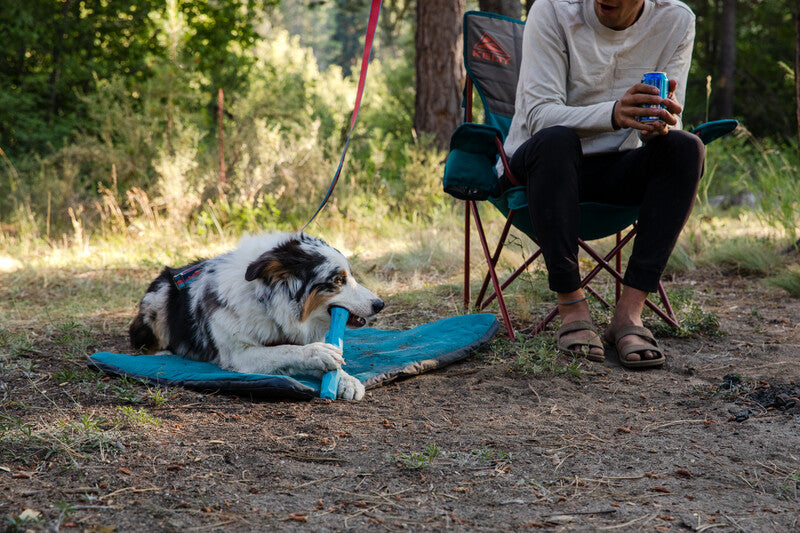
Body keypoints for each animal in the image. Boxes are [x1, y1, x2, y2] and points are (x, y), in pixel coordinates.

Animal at [128, 232, 384, 400]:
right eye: (338, 280)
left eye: (351, 275)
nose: (380, 304)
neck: (267, 302)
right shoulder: (239, 355)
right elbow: (284, 350)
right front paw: (316, 353)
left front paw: (347, 380)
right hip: (158, 299)